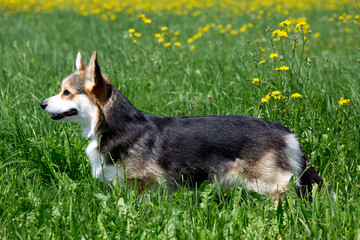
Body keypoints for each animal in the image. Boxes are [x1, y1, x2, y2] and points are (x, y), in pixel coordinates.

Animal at [41, 51, 324, 203]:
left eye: (66, 92)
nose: (42, 104)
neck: (117, 125)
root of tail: (283, 130)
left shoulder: (142, 183)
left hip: (265, 181)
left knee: (284, 192)